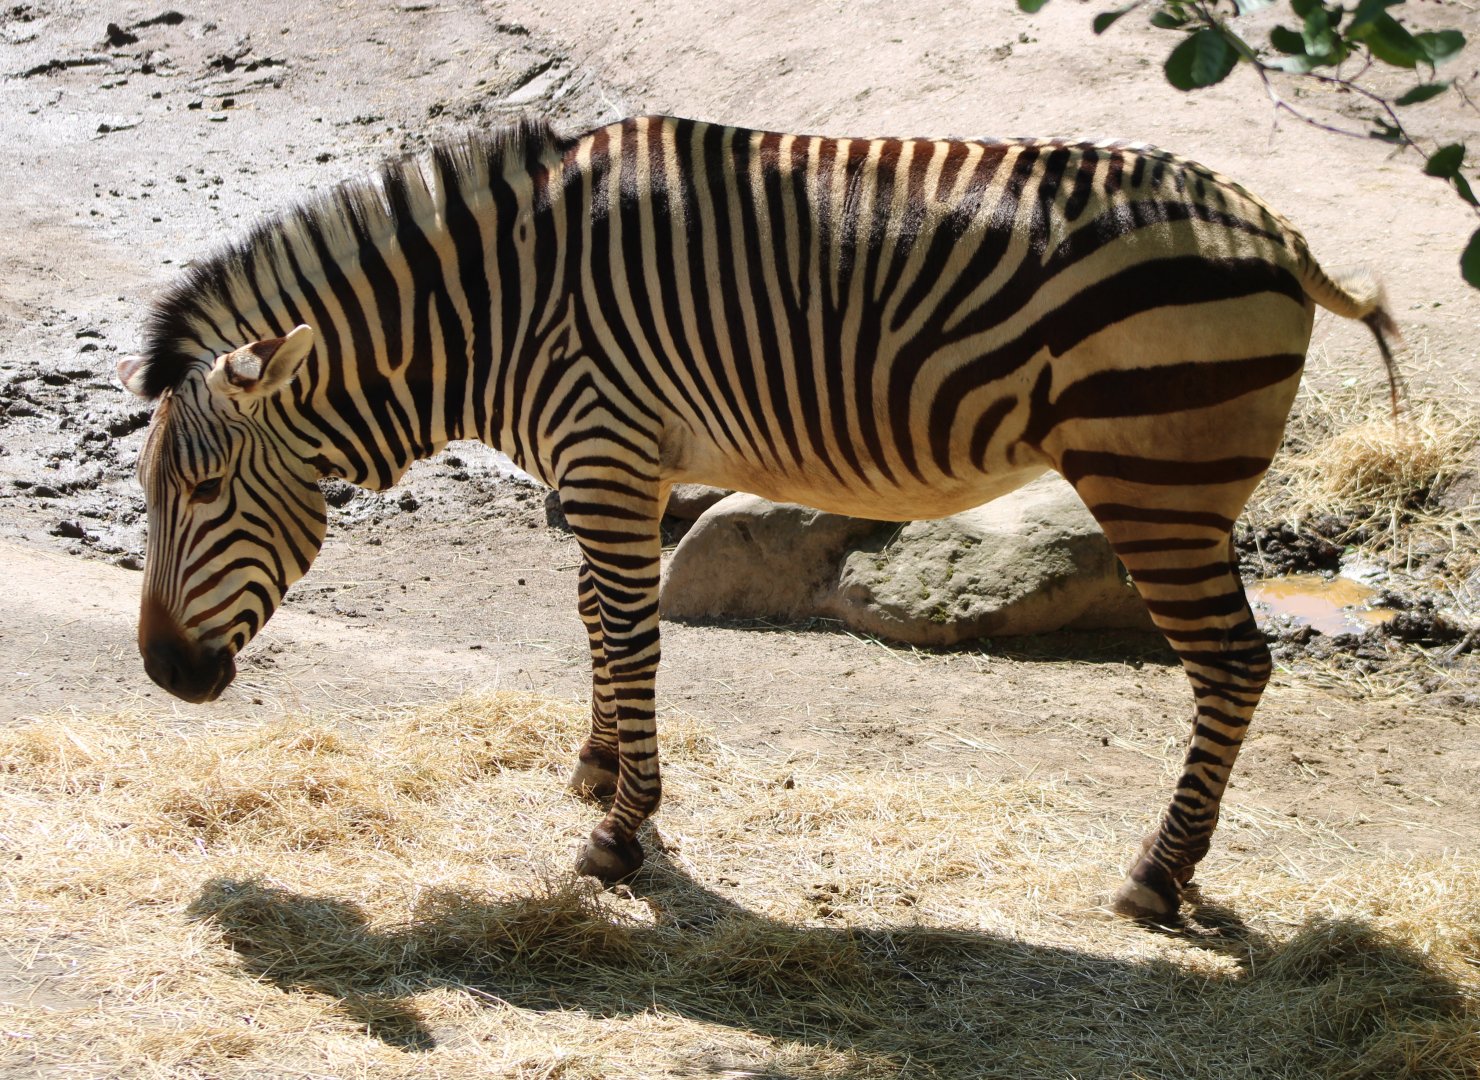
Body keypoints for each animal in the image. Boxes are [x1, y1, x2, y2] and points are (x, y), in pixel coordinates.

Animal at [119, 115, 1397, 922]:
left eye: (204, 493)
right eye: (150, 493)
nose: (166, 676)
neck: (501, 312)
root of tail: (1272, 229)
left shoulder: (607, 450)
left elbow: (630, 635)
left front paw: (622, 834)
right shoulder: (611, 467)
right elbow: (593, 615)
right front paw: (596, 768)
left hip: (1153, 485)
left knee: (1231, 667)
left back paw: (1155, 878)